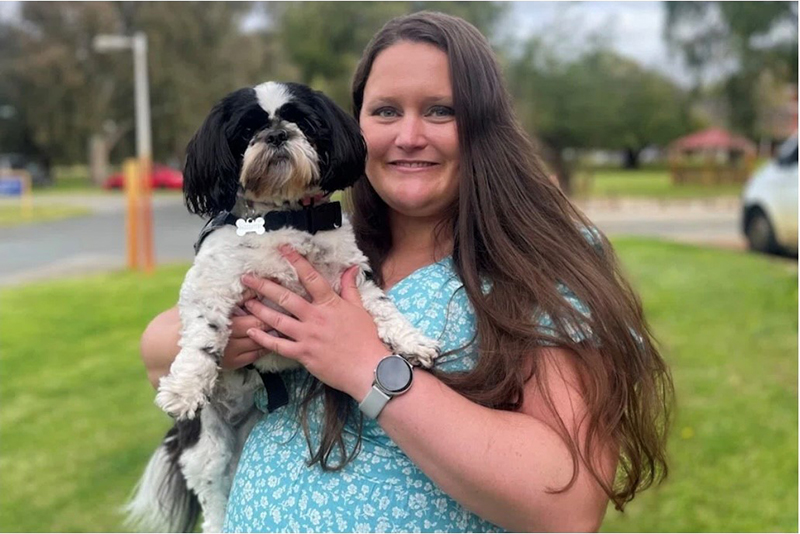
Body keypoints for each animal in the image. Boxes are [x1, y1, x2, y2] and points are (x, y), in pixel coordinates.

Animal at [123, 81, 438, 532]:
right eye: (245, 130)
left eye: (304, 121)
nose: (275, 134)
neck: (284, 218)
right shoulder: (209, 282)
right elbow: (204, 335)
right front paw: (184, 386)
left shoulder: (352, 277)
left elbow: (381, 306)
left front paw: (411, 341)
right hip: (207, 447)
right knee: (213, 500)